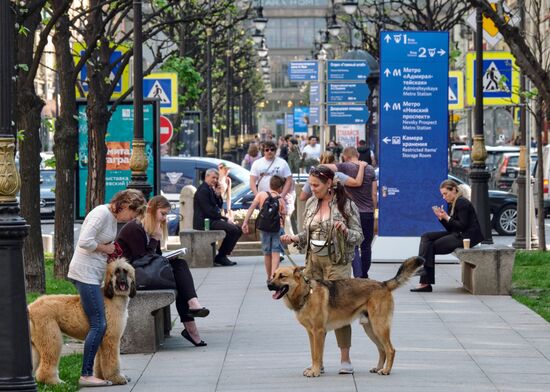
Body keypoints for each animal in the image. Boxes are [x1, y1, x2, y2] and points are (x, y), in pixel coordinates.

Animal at [270, 256, 424, 378]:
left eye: (282, 276)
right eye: (273, 275)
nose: (268, 284)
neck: (307, 293)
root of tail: (383, 284)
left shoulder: (318, 332)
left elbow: (317, 354)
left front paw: (315, 372)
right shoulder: (311, 333)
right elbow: (315, 353)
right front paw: (315, 369)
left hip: (379, 327)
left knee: (390, 350)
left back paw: (386, 370)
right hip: (371, 330)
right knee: (382, 350)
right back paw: (379, 368)